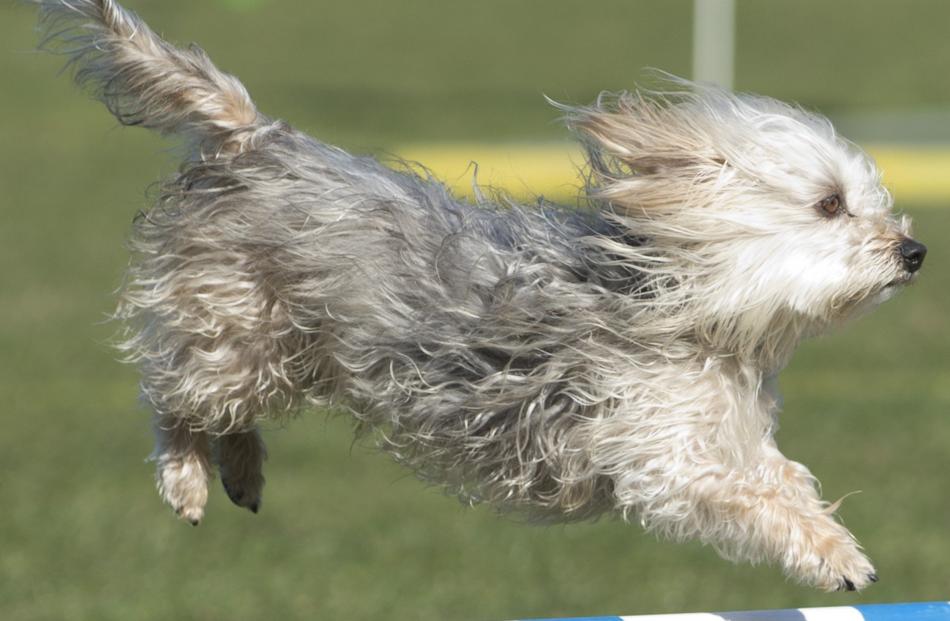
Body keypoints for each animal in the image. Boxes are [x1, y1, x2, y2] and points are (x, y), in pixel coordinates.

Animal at [33, 0, 924, 592]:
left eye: (871, 200)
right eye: (829, 204)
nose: (914, 250)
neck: (689, 310)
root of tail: (258, 137)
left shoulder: (728, 435)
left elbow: (784, 478)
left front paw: (832, 537)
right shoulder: (664, 457)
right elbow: (750, 493)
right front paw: (836, 556)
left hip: (279, 351)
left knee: (216, 411)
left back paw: (244, 474)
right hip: (235, 332)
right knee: (173, 401)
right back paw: (189, 482)